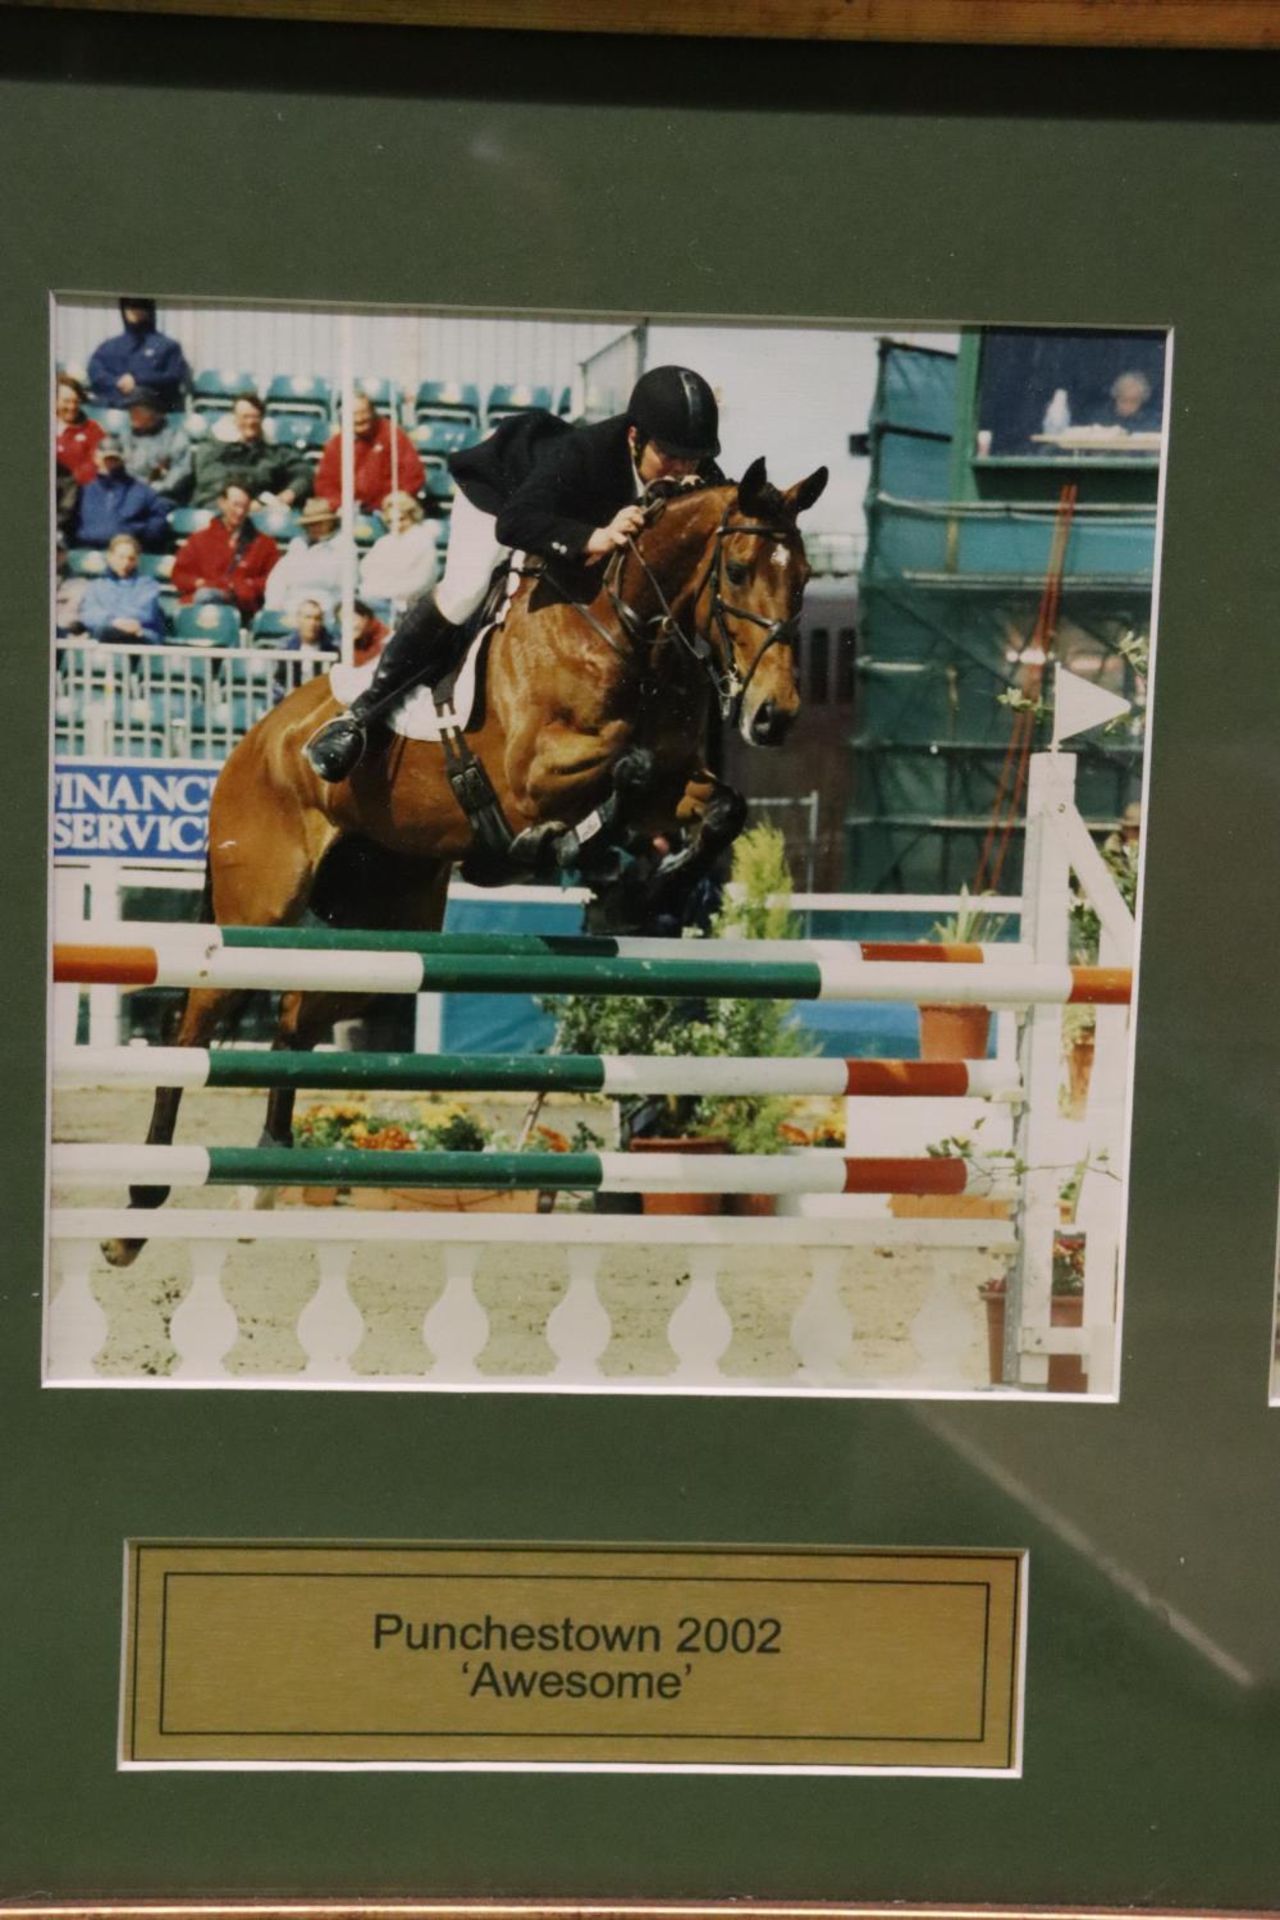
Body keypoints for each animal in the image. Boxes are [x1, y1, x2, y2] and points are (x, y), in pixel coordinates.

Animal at [105, 460, 836, 1274]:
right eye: (737, 569)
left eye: (803, 578)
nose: (774, 715)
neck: (628, 629)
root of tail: (252, 743)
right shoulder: (532, 775)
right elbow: (626, 767)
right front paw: (561, 847)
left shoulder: (676, 779)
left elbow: (716, 805)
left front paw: (656, 871)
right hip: (258, 909)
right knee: (192, 1030)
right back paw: (136, 1212)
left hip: (390, 927)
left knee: (295, 1017)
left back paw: (262, 1177)